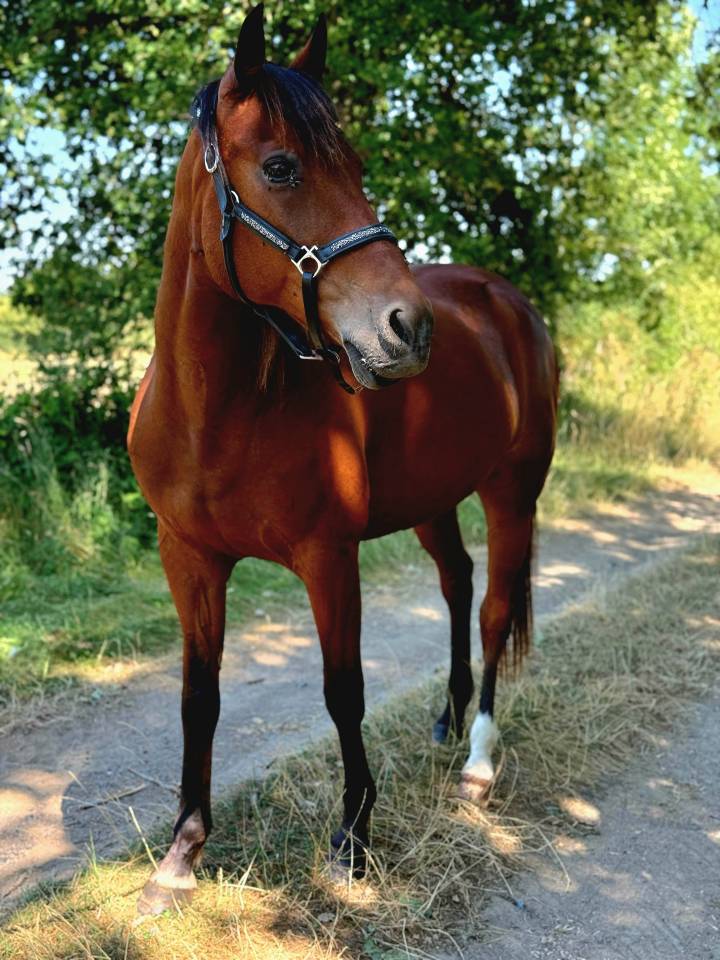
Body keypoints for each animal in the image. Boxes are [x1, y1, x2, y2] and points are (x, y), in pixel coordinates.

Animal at [128, 4, 558, 915]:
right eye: (281, 167)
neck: (219, 414)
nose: (408, 328)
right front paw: (181, 855)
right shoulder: (189, 560)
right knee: (457, 582)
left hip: (513, 493)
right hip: (435, 501)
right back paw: (445, 720)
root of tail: (504, 300)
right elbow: (198, 697)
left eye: (357, 166)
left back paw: (476, 763)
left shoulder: (329, 558)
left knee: (494, 609)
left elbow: (342, 690)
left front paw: (352, 841)